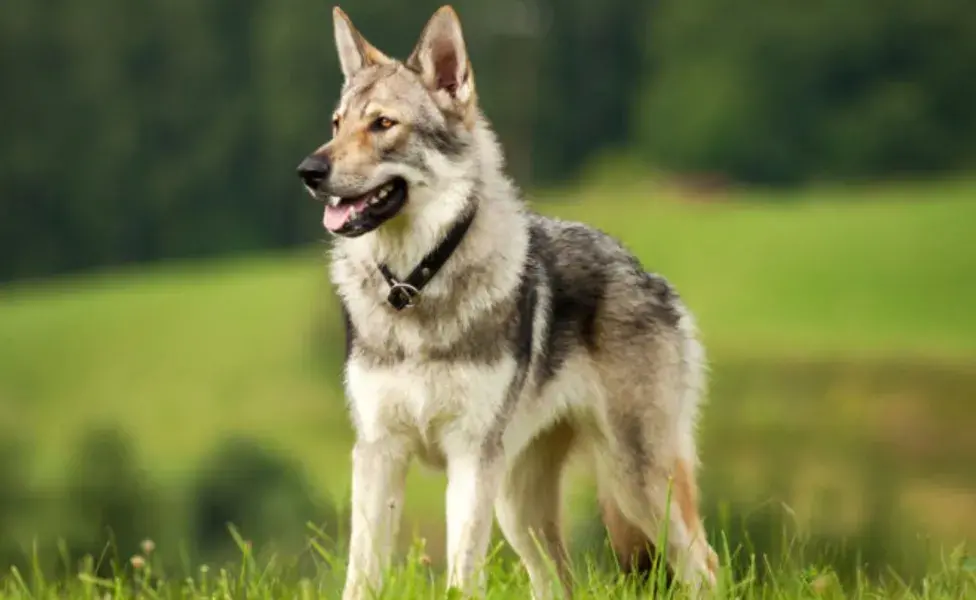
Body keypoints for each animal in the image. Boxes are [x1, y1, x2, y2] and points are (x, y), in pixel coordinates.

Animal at [296, 5, 716, 600]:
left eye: (382, 124)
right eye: (336, 124)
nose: (309, 171)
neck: (415, 286)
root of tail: (648, 273)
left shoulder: (469, 457)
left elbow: (459, 576)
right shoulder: (379, 452)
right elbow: (362, 575)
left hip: (635, 483)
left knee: (705, 564)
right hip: (522, 512)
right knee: (561, 582)